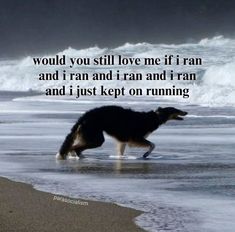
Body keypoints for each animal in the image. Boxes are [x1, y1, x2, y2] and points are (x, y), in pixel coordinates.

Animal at [55, 105, 187, 160]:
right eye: (175, 109)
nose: (186, 112)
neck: (154, 117)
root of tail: (84, 117)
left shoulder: (124, 140)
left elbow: (121, 152)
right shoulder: (135, 138)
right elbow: (153, 144)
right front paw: (146, 154)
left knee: (73, 147)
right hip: (97, 138)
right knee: (75, 147)